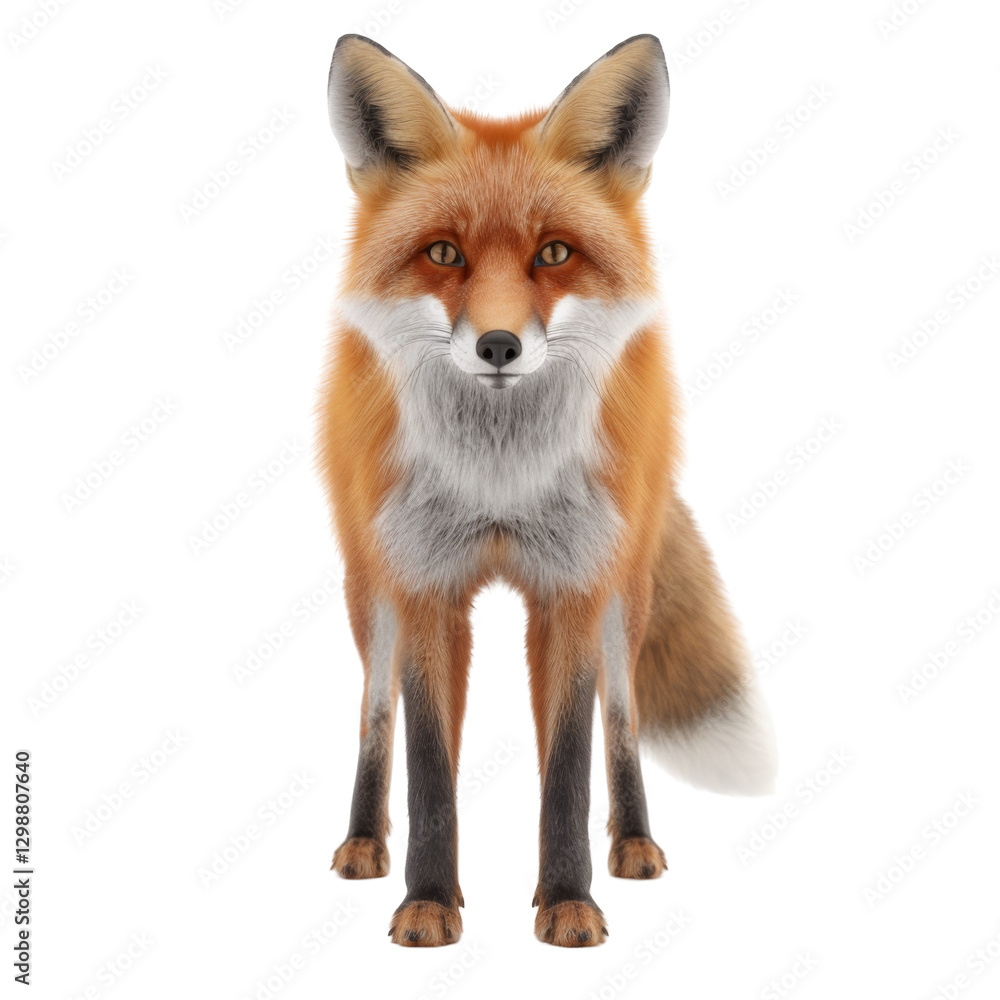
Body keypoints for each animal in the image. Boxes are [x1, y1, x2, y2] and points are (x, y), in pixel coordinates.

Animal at [319, 32, 778, 948]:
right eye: (445, 253)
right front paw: (428, 902)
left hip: (625, 595)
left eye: (554, 253)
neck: (501, 478)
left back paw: (631, 846)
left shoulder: (574, 587)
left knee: (621, 718)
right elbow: (428, 764)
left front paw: (568, 901)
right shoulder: (422, 587)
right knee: (375, 713)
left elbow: (568, 762)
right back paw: (364, 843)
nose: (498, 345)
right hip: (369, 592)